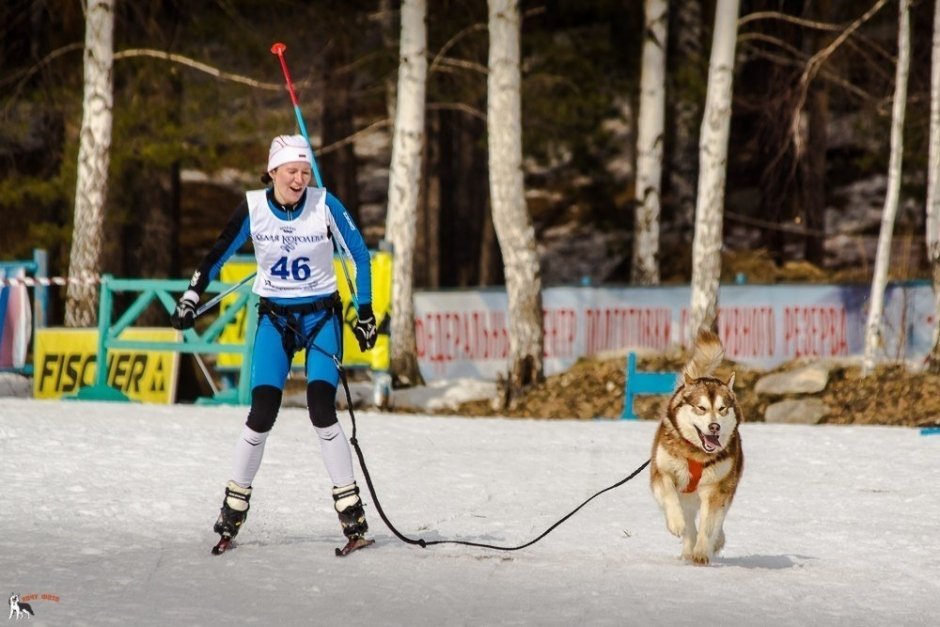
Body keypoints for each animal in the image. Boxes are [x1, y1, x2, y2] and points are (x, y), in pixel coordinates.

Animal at [648, 332, 744, 568]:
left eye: (722, 408)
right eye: (701, 408)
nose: (714, 427)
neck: (696, 454)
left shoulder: (717, 487)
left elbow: (709, 524)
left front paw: (702, 552)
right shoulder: (662, 472)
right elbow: (670, 496)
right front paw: (676, 524)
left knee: (716, 520)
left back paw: (713, 543)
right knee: (690, 519)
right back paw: (686, 547)